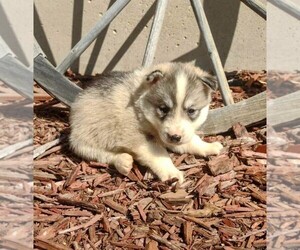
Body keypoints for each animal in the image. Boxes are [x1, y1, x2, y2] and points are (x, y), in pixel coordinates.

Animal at [68, 62, 223, 184]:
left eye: (191, 110)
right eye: (163, 109)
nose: (175, 137)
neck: (140, 107)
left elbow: (192, 140)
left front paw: (208, 146)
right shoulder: (136, 137)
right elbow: (159, 154)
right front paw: (171, 172)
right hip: (83, 142)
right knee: (101, 154)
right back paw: (122, 161)